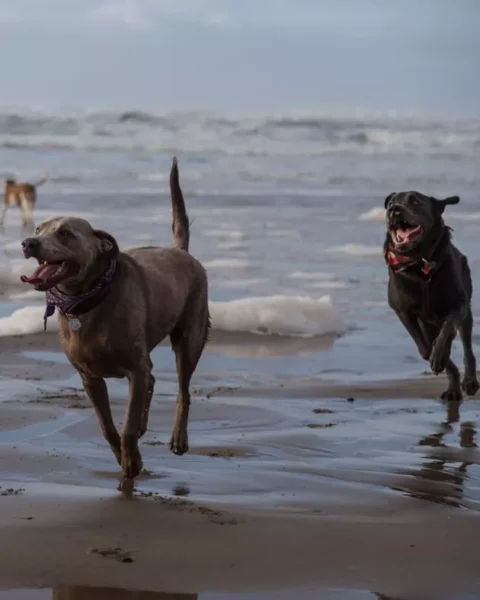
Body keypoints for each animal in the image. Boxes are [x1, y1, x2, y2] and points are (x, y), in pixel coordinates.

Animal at [20, 159, 209, 488]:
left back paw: (178, 439)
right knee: (153, 380)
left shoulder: (135, 368)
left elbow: (128, 425)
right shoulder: (90, 378)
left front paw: (132, 460)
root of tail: (180, 251)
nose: (29, 242)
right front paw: (123, 458)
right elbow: (107, 426)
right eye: (39, 229)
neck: (88, 300)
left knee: (183, 392)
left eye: (66, 233)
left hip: (190, 339)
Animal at [384, 190, 478, 400]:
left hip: (466, 310)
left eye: (416, 201)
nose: (393, 210)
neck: (419, 262)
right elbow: (425, 349)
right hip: (427, 323)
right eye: (391, 203)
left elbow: (448, 329)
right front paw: (439, 359)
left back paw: (470, 381)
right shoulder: (402, 310)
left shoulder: (458, 304)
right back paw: (453, 389)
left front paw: (440, 353)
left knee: (467, 345)